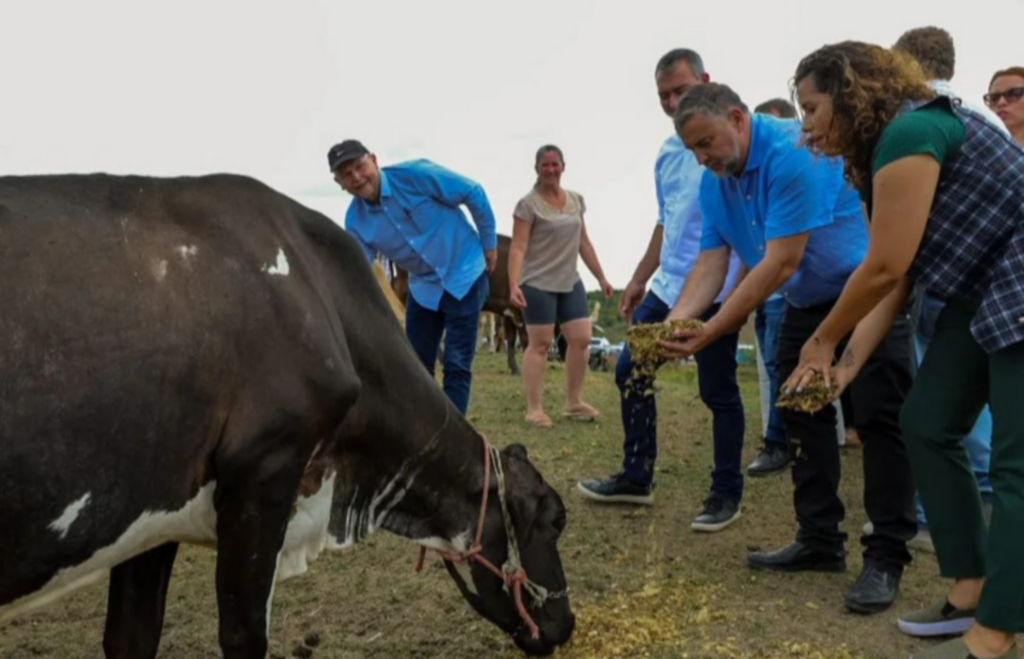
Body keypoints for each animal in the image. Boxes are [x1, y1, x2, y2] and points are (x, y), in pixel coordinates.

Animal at [0, 172, 577, 654]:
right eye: (554, 520)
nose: (564, 625)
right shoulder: (263, 477)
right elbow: (243, 635)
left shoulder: (154, 515)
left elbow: (131, 637)